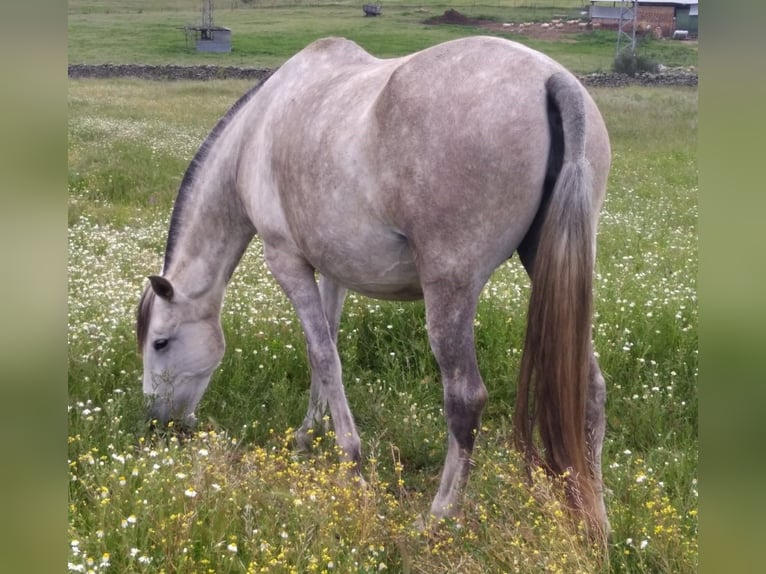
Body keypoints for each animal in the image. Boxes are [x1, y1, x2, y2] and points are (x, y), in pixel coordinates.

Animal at [138, 37, 616, 536]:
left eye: (160, 343)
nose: (158, 422)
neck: (255, 134)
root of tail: (550, 78)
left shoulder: (287, 262)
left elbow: (325, 358)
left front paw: (352, 463)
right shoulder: (333, 270)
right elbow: (324, 348)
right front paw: (308, 435)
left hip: (450, 291)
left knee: (466, 399)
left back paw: (438, 515)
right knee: (592, 391)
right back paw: (596, 522)